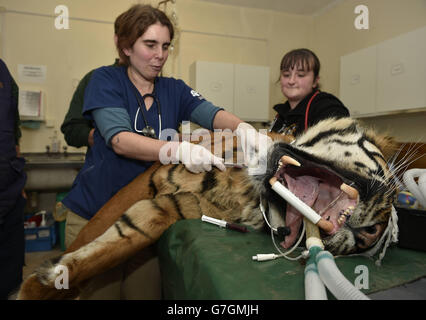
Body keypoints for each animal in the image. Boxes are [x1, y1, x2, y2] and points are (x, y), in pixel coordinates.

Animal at [17, 117, 402, 300]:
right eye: (388, 202)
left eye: (354, 247)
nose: (367, 234)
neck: (247, 188)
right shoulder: (146, 183)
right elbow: (90, 234)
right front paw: (37, 287)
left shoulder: (168, 208)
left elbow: (110, 247)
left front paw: (49, 279)